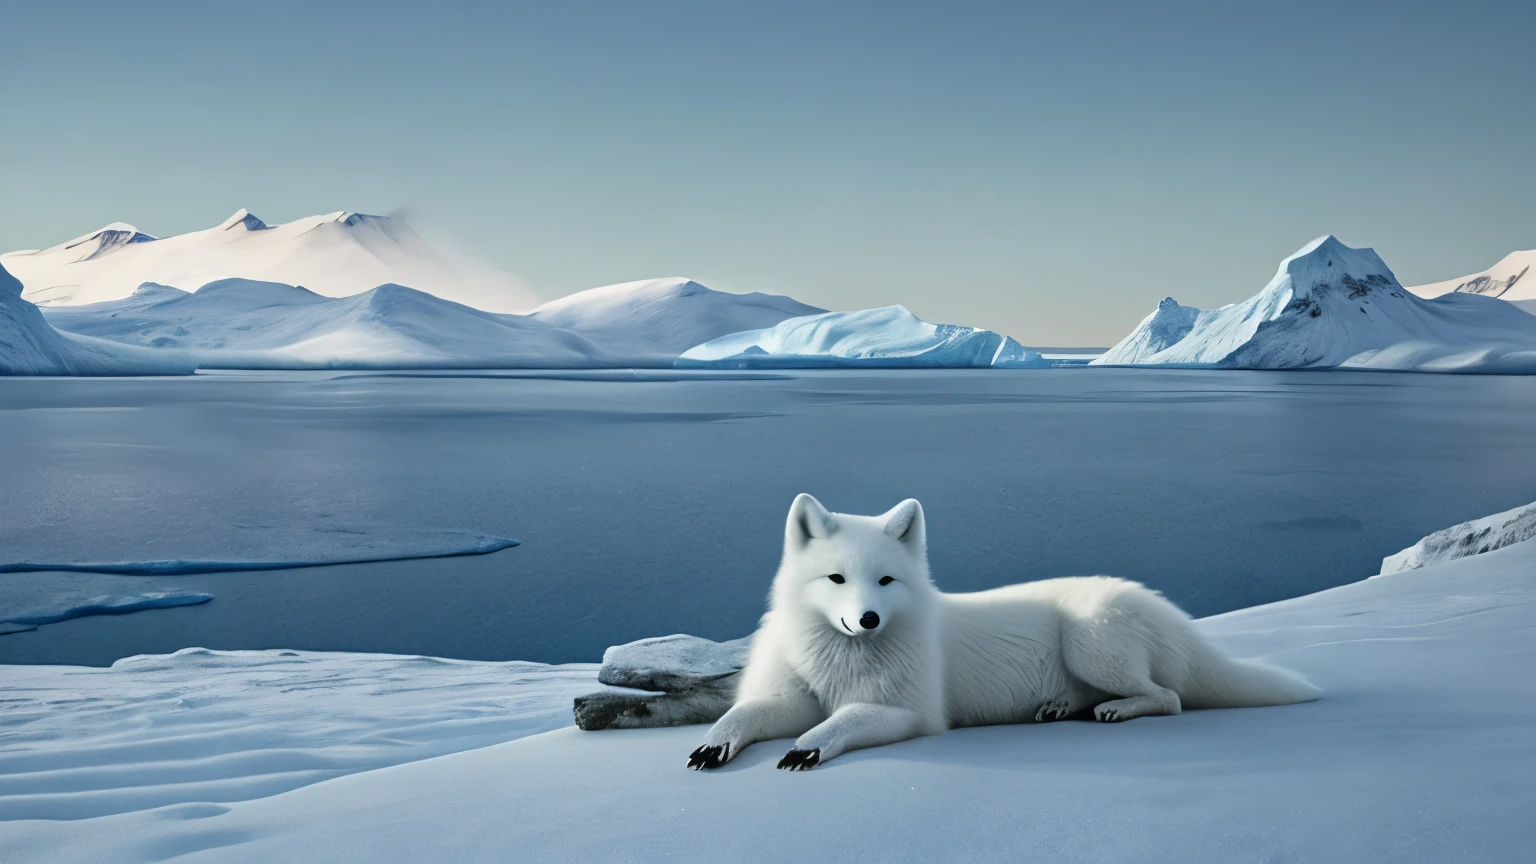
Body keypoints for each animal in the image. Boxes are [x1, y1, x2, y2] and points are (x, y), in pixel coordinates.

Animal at [688, 495, 1320, 768]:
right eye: (836, 578)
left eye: (886, 580)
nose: (866, 619)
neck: (838, 658)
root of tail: (1156, 602)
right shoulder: (790, 696)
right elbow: (745, 713)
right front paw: (713, 742)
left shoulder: (912, 713)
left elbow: (837, 722)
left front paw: (805, 748)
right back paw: (1060, 707)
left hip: (1091, 644)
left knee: (1169, 697)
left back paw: (1117, 710)